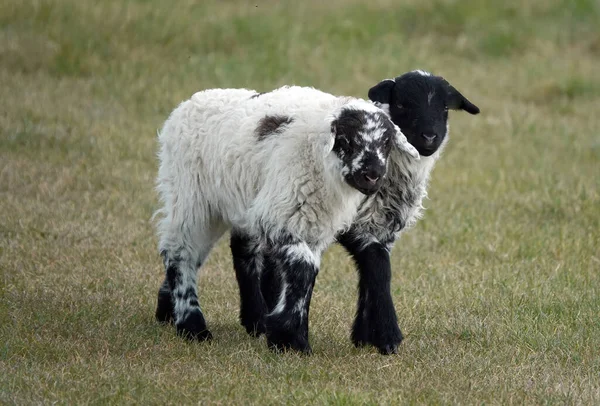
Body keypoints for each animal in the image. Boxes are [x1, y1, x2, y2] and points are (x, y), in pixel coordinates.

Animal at [152, 85, 420, 352]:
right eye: (345, 140)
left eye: (387, 142)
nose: (372, 175)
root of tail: (188, 103)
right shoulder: (283, 214)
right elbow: (303, 268)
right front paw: (291, 340)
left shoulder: (312, 224)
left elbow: (305, 271)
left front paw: (284, 333)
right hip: (190, 197)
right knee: (180, 253)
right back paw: (193, 326)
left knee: (234, 250)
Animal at [232, 71, 480, 354]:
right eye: (402, 103)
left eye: (444, 108)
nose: (429, 137)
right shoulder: (353, 225)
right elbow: (378, 266)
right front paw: (387, 336)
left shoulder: (382, 228)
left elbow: (371, 271)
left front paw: (364, 335)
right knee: (245, 247)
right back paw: (255, 319)